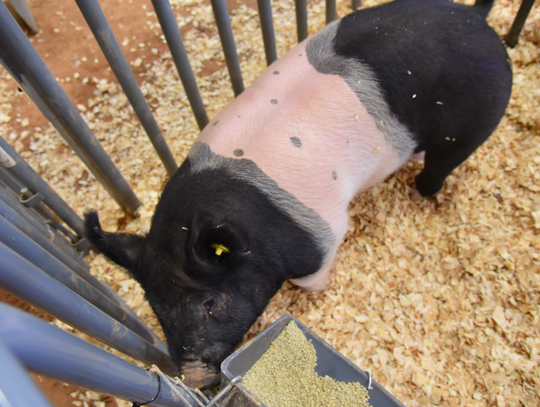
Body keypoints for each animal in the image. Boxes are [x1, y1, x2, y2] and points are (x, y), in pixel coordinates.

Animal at [84, 0, 510, 390]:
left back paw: (424, 192)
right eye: (155, 307)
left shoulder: (325, 235)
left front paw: (315, 293)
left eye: (210, 304)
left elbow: (313, 277)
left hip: (473, 123)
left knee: (440, 166)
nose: (195, 379)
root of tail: (477, 17)